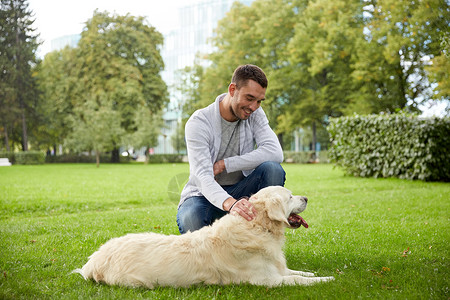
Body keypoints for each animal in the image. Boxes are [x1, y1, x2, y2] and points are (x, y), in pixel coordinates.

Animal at [74, 186, 334, 288]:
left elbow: (296, 272)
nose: (306, 198)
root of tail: (94, 260)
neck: (257, 228)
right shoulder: (266, 281)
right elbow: (297, 279)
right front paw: (328, 279)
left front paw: (314, 273)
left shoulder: (276, 269)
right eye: (290, 197)